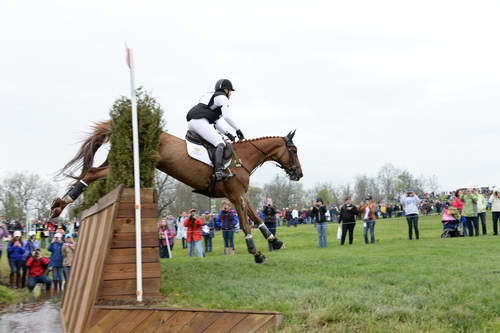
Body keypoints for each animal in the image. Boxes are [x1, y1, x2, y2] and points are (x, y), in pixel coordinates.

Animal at [53, 120, 304, 264]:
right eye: (293, 150)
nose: (299, 174)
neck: (242, 159)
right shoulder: (233, 195)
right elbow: (244, 223)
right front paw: (256, 253)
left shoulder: (240, 194)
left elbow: (255, 217)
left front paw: (275, 241)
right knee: (91, 173)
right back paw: (61, 204)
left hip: (118, 160)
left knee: (92, 171)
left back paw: (59, 204)